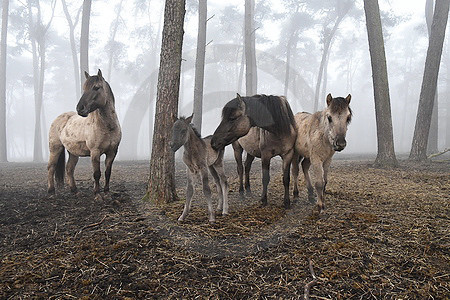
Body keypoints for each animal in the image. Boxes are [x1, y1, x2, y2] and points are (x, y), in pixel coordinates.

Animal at [46, 68, 122, 199]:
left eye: (96, 87)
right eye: (84, 88)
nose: (80, 108)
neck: (108, 127)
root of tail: (58, 118)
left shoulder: (112, 152)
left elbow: (107, 172)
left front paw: (107, 193)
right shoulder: (95, 152)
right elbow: (96, 173)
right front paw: (97, 195)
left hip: (73, 152)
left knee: (69, 169)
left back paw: (75, 190)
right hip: (55, 148)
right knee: (51, 167)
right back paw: (51, 191)